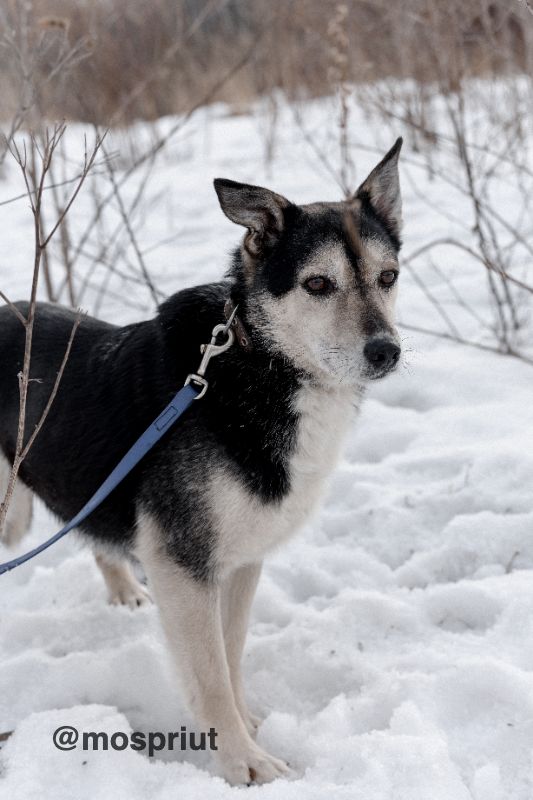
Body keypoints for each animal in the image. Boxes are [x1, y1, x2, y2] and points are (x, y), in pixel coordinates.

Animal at [0, 138, 404, 780]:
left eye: (388, 277)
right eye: (318, 285)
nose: (387, 351)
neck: (256, 361)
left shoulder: (237, 563)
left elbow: (231, 658)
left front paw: (249, 726)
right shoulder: (184, 567)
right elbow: (211, 676)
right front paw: (244, 763)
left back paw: (123, 592)